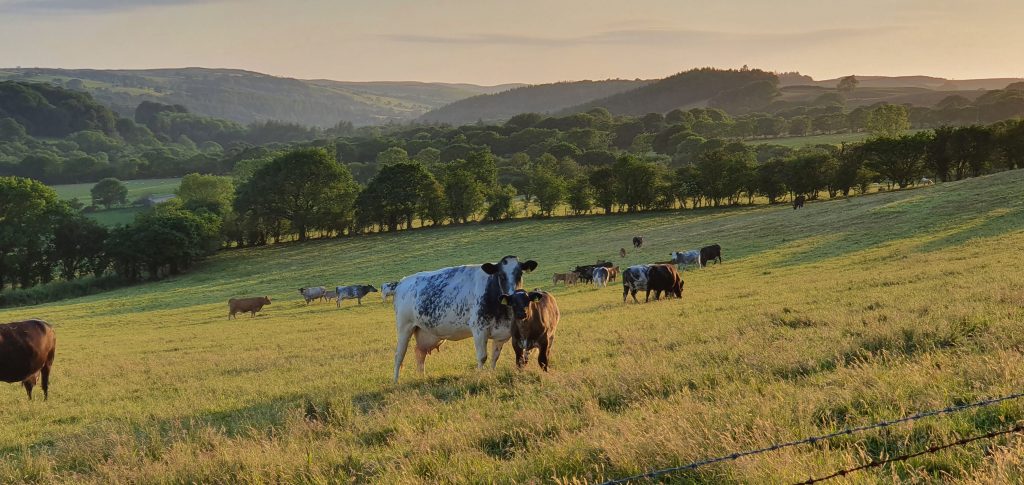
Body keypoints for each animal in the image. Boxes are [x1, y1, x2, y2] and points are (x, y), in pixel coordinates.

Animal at [389, 255, 540, 380]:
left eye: (520, 274)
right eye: (501, 275)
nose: (512, 296)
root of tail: (401, 283)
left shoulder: (502, 333)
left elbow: (495, 357)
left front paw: (491, 374)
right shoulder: (479, 330)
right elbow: (482, 357)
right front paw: (480, 376)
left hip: (426, 333)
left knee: (420, 353)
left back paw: (422, 378)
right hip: (404, 327)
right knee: (399, 356)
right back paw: (396, 381)